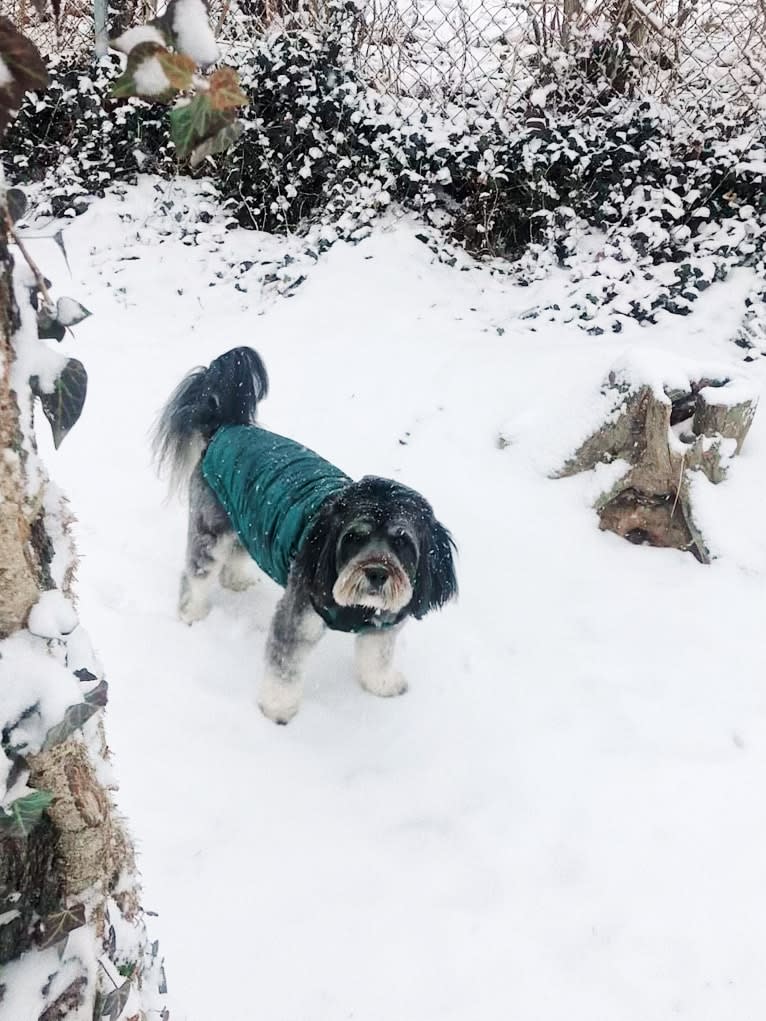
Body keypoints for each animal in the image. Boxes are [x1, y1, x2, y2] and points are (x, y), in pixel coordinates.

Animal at [153, 347, 459, 722]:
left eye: (402, 541)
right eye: (354, 538)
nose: (376, 573)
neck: (358, 608)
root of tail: (224, 427)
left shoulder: (383, 624)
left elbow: (378, 657)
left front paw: (382, 684)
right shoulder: (297, 618)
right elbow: (284, 668)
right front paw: (277, 708)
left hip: (247, 519)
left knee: (237, 553)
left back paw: (236, 580)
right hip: (210, 528)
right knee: (195, 574)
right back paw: (191, 612)